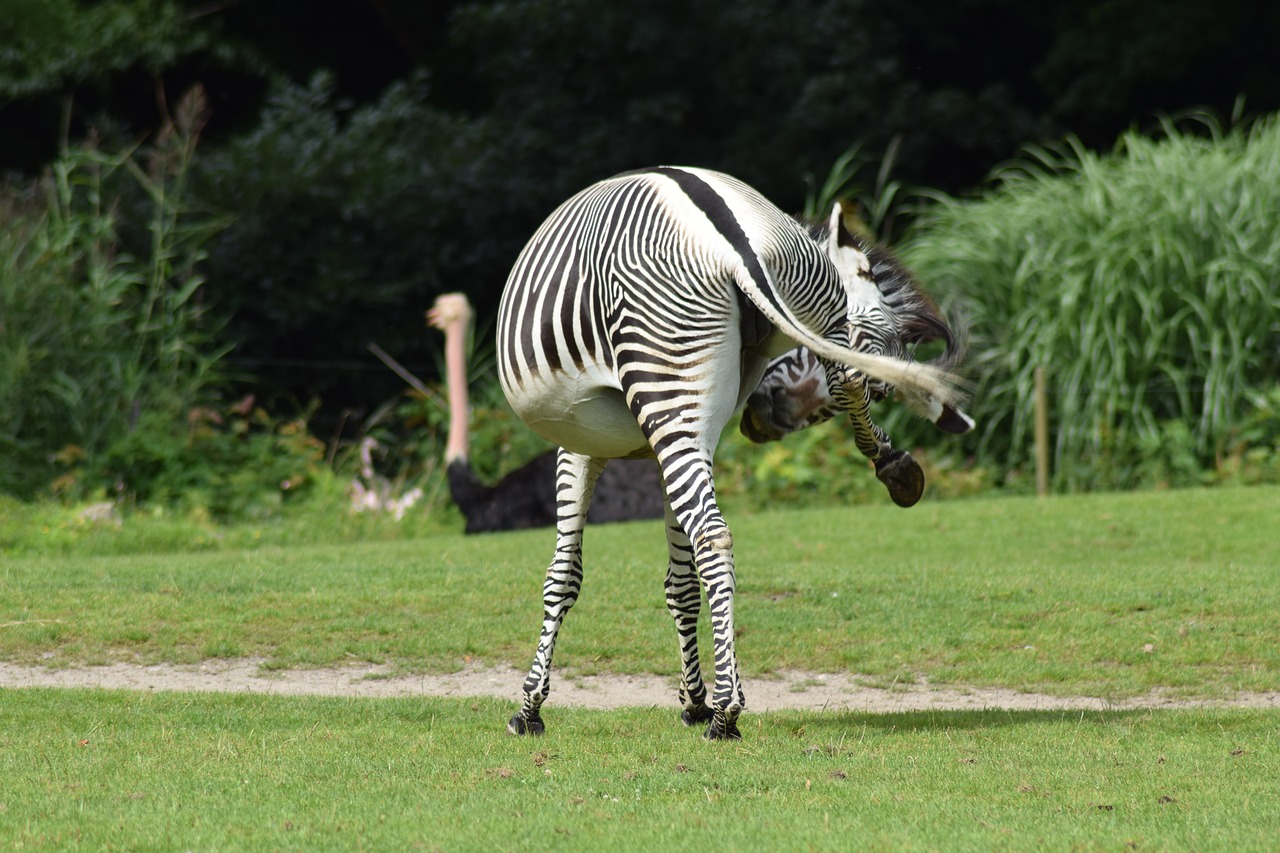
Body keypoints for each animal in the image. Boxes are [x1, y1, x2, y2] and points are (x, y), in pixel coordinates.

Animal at [494, 163, 962, 737]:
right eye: (871, 277)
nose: (897, 378)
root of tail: (735, 245)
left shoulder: (579, 445)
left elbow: (563, 576)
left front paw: (530, 706)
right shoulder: (675, 443)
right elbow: (679, 583)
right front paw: (694, 696)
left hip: (669, 383)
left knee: (713, 536)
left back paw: (725, 715)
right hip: (787, 334)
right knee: (843, 381)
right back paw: (894, 469)